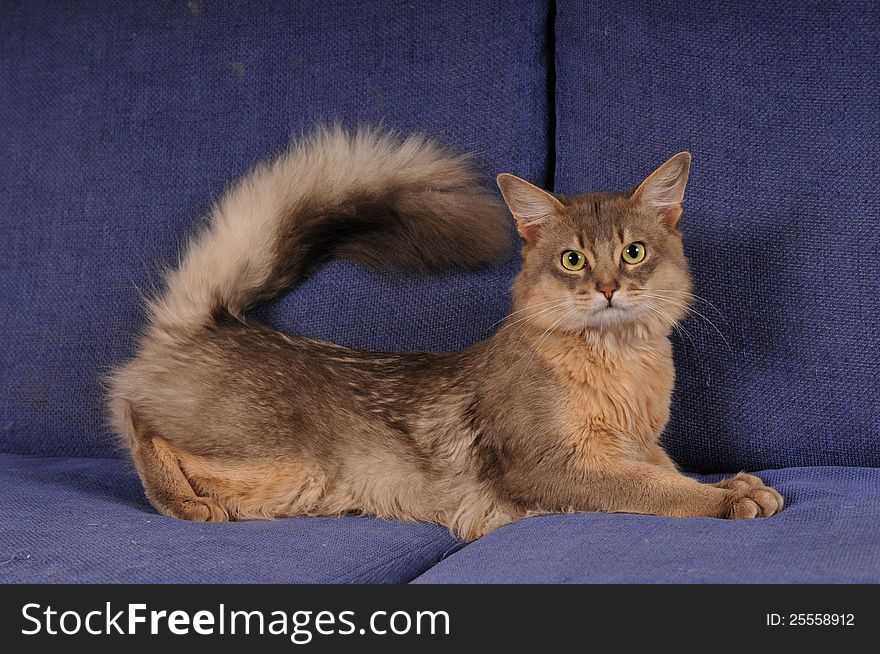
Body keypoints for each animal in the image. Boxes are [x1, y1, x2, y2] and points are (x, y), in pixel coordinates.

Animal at [108, 127, 784, 540]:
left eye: (634, 252)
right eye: (573, 260)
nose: (609, 288)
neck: (622, 366)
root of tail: (215, 318)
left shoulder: (641, 445)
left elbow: (670, 472)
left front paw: (734, 481)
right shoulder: (556, 466)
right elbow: (657, 491)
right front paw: (729, 499)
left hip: (287, 487)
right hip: (276, 461)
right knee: (135, 418)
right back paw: (184, 501)